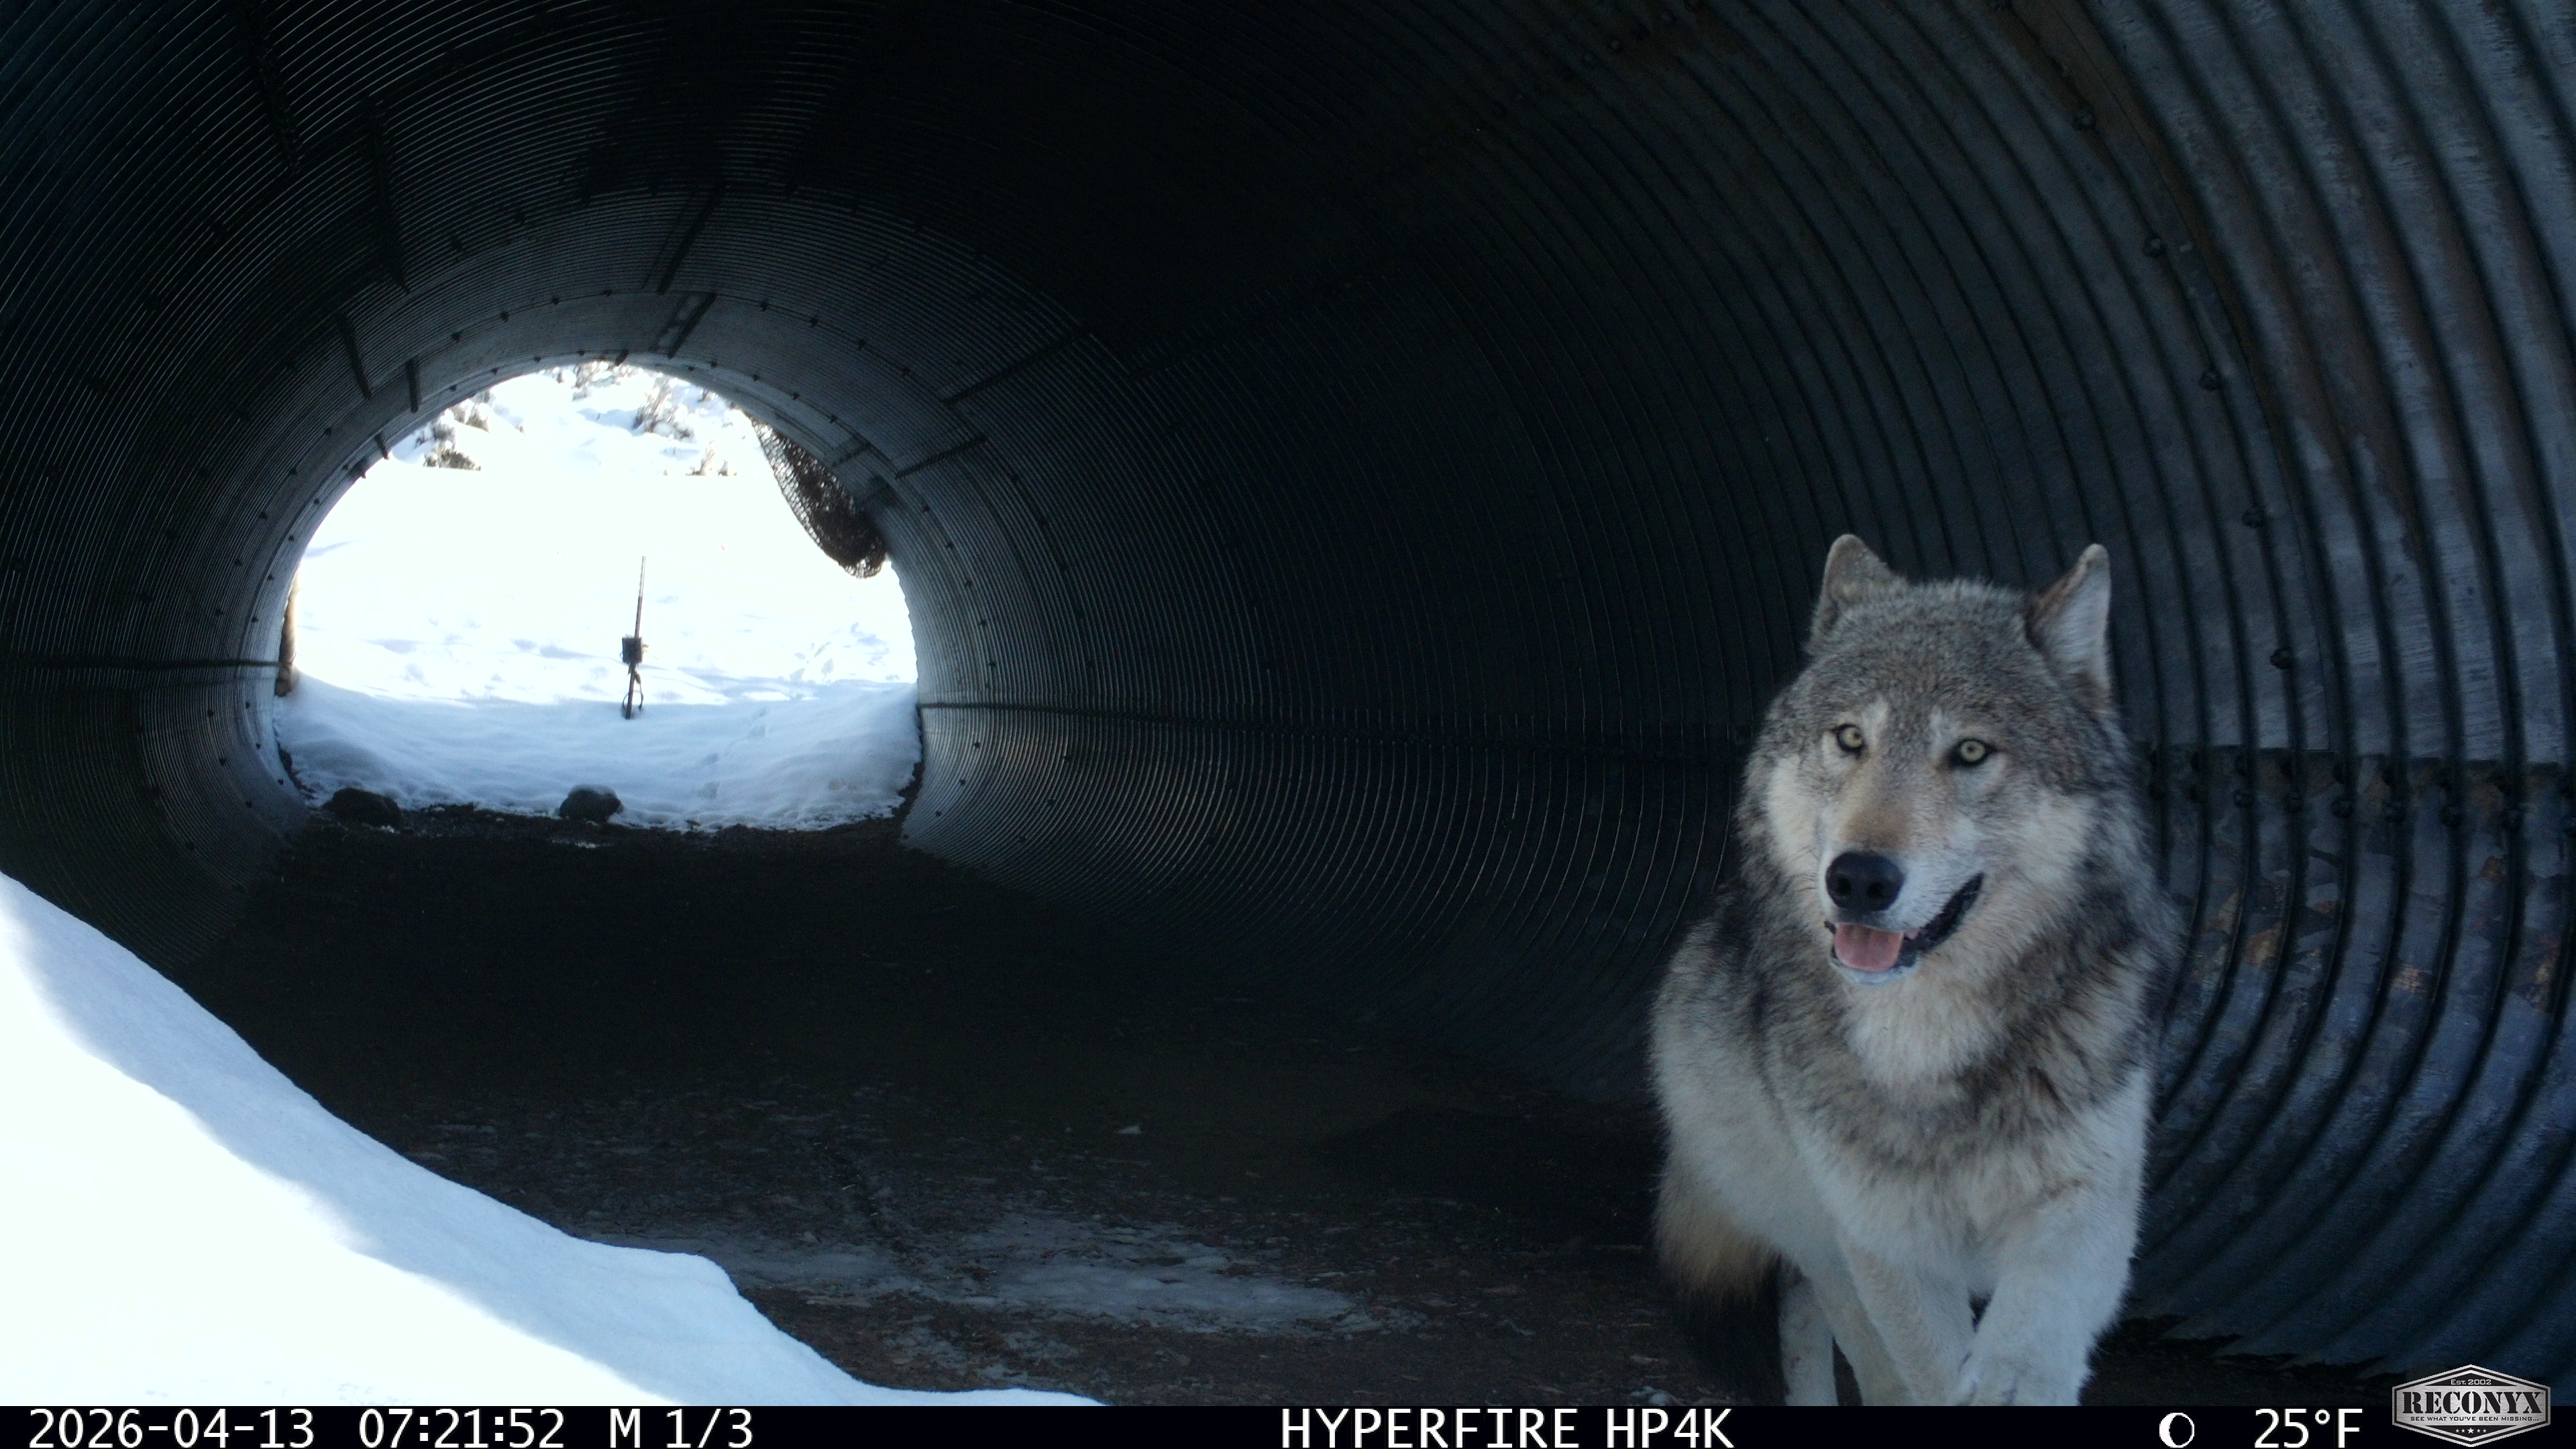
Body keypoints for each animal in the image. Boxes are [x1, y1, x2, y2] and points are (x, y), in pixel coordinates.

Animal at [1650, 535, 2177, 1405]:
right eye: (1850, 740)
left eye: (1970, 751)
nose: (1859, 879)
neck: (1926, 1038)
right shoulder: (1885, 1242)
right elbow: (1922, 1371)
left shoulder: (2086, 1206)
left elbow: (2029, 1344)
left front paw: (2010, 1384)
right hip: (1821, 1239)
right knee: (1818, 1327)